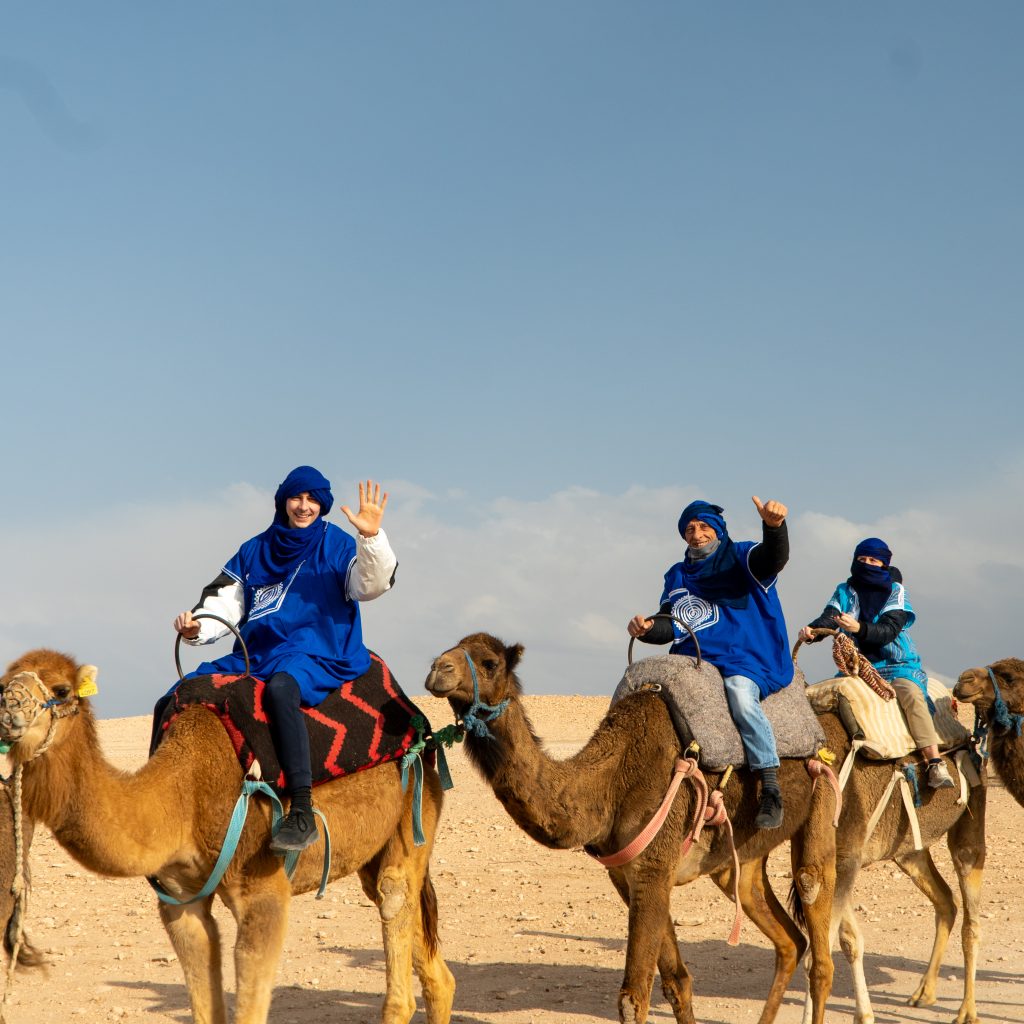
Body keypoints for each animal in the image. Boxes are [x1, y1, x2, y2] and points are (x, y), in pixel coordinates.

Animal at [0, 649, 455, 1024]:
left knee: (395, 897)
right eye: (4, 682)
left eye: (61, 689)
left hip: (417, 801)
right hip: (373, 850)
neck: (183, 794)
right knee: (432, 965)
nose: (8, 706)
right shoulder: (181, 899)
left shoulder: (263, 891)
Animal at [424, 632, 844, 1024]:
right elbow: (677, 981)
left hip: (825, 792)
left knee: (817, 926)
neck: (610, 782)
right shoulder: (628, 877)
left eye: (490, 662)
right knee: (788, 938)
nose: (438, 669)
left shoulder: (653, 868)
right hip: (738, 858)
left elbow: (633, 997)